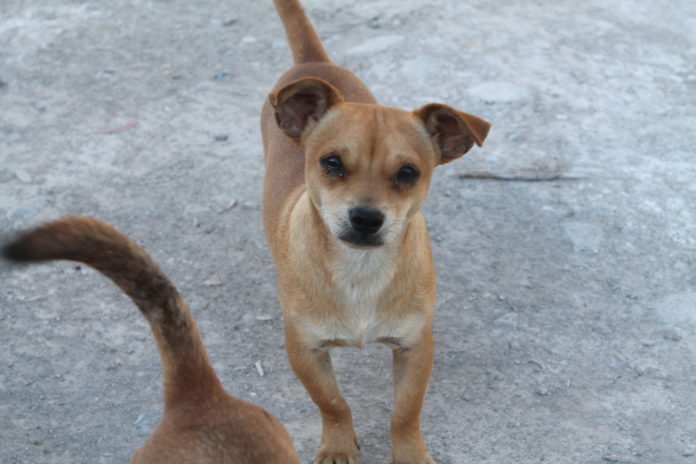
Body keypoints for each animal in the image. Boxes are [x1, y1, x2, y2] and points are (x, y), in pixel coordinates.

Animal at [260, 1, 491, 463]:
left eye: (408, 173)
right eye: (331, 163)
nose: (366, 217)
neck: (360, 270)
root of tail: (313, 61)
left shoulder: (415, 346)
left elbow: (405, 411)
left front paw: (410, 452)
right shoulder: (304, 351)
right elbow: (332, 402)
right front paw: (337, 443)